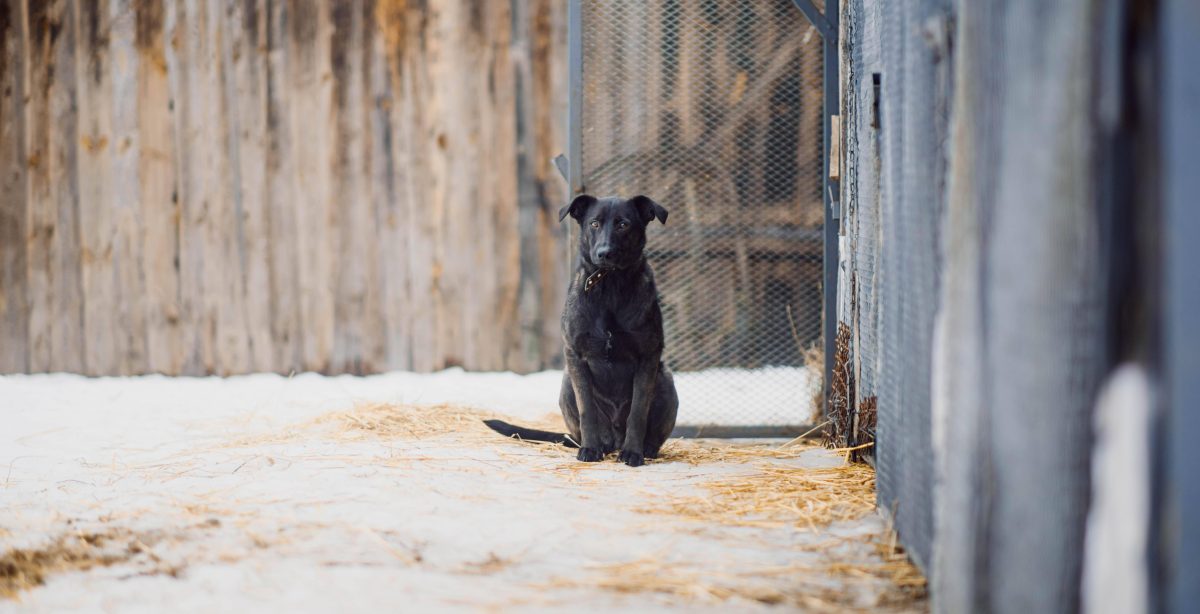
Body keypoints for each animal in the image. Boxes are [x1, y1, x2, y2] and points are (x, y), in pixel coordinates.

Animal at [482, 194, 681, 467]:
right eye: (594, 223)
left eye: (624, 225)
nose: (604, 253)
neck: (610, 286)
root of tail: (614, 439)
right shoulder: (575, 355)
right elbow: (587, 409)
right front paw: (590, 449)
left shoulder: (648, 357)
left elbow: (638, 411)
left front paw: (633, 452)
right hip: (566, 383)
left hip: (665, 381)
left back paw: (645, 449)